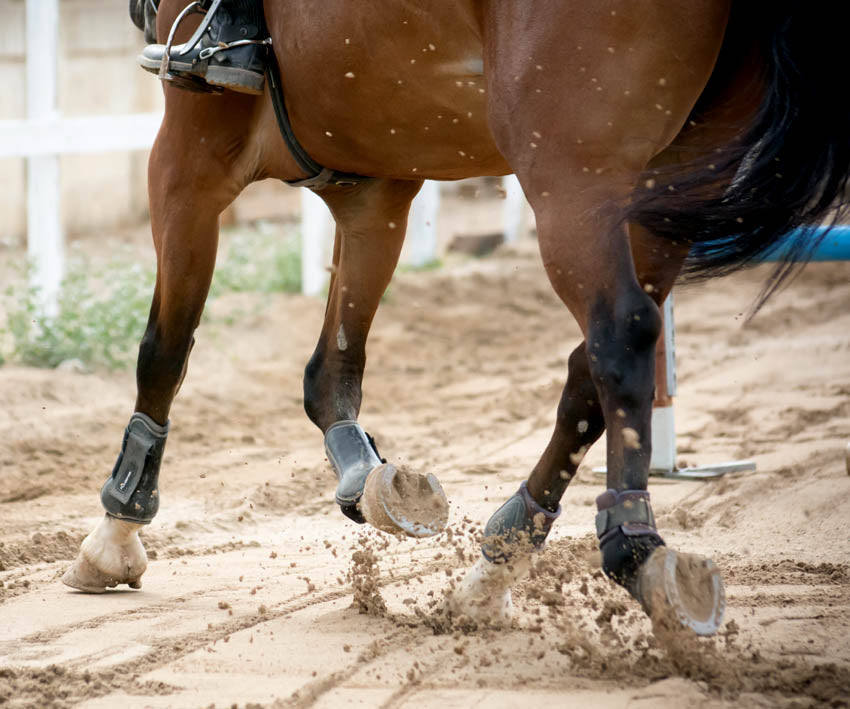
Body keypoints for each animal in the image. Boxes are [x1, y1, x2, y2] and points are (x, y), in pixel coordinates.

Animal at [64, 1, 848, 636]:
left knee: (619, 334)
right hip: (668, 190)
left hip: (573, 176)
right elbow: (332, 371)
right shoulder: (375, 185)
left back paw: (634, 549)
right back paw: (498, 562)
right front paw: (371, 481)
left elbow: (165, 348)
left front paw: (116, 532)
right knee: (591, 368)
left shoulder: (189, 155)